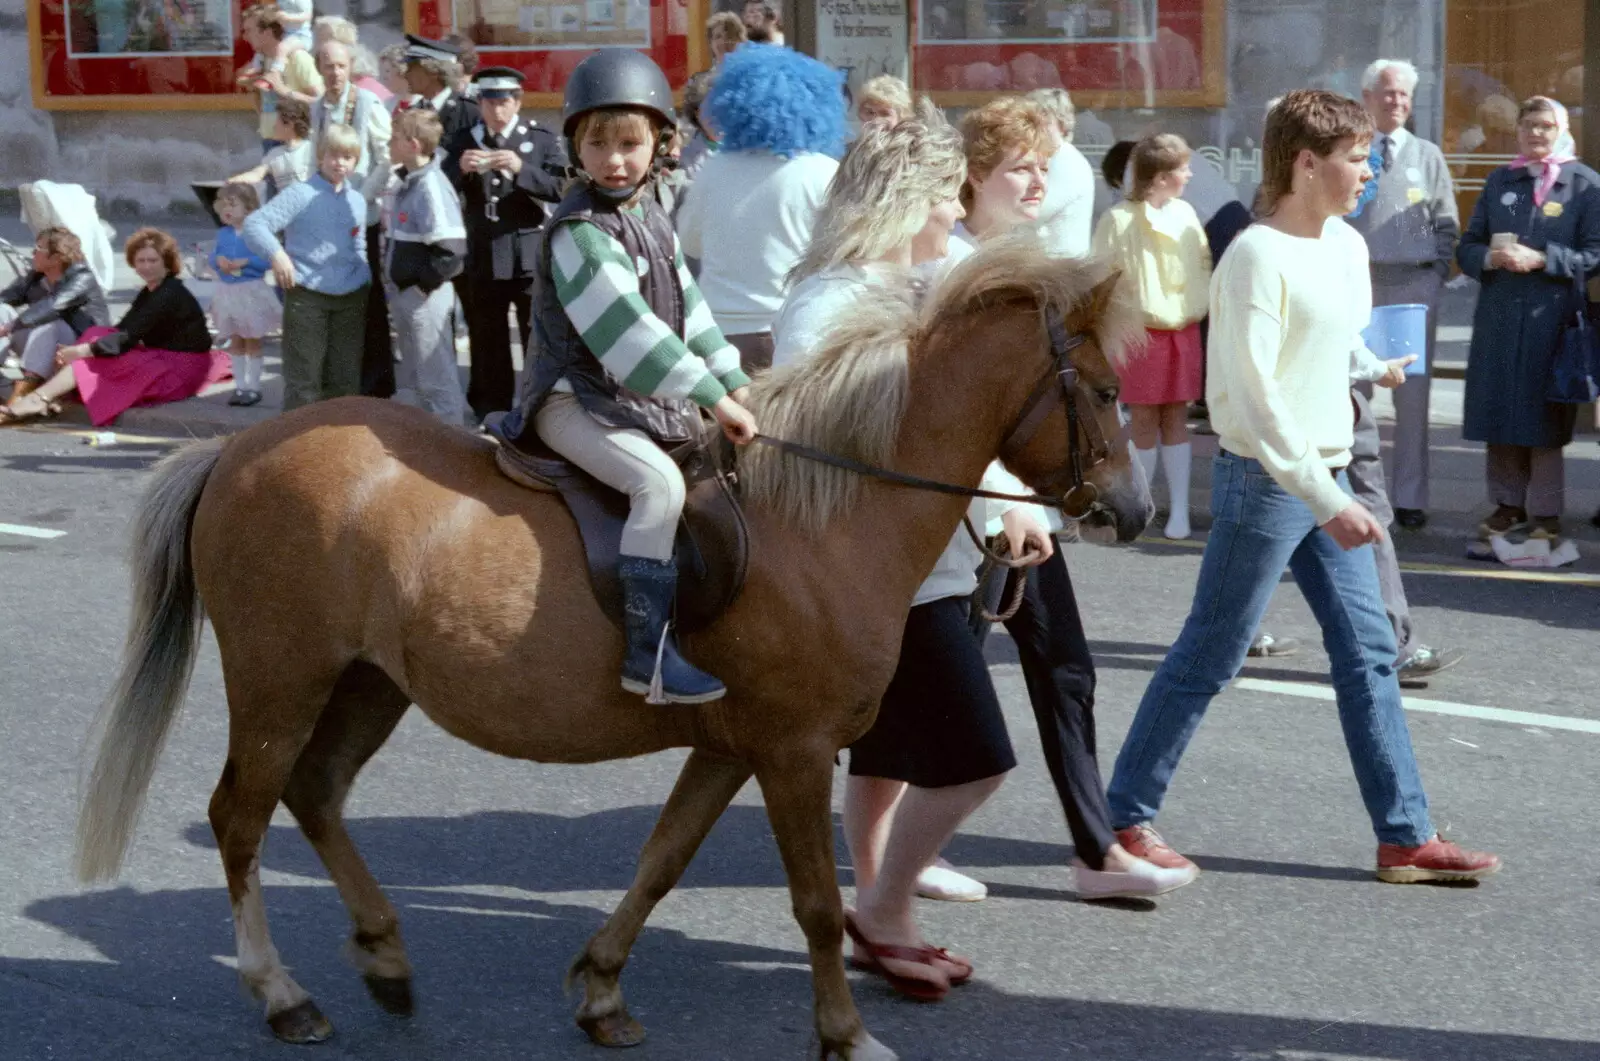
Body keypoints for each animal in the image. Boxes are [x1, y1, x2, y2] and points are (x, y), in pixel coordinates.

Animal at [78, 243, 1152, 1061]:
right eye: (1104, 390)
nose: (1134, 514)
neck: (823, 516)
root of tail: (235, 453)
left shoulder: (729, 748)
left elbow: (660, 861)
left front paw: (599, 990)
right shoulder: (795, 751)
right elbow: (812, 901)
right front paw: (845, 1033)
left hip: (367, 683)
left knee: (316, 793)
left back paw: (385, 956)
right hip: (279, 678)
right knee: (241, 817)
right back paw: (283, 992)